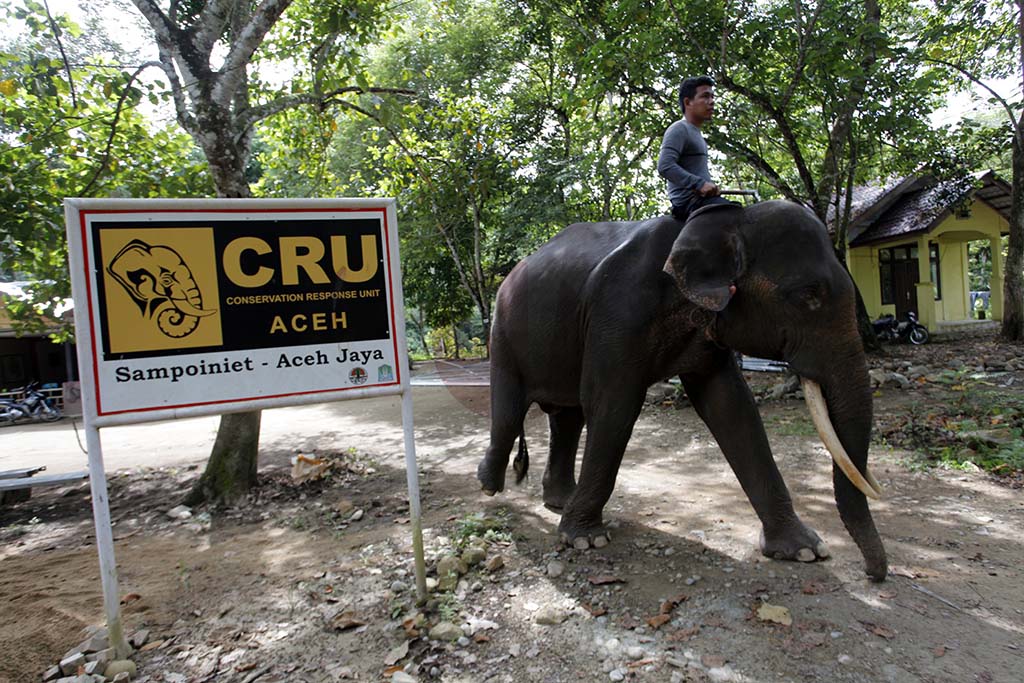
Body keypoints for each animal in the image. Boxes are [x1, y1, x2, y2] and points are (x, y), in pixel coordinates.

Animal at [479, 200, 888, 581]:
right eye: (808, 295)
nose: (873, 575)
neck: (724, 220)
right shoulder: (618, 313)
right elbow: (613, 406)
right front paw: (585, 541)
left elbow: (732, 409)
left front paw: (804, 551)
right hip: (503, 335)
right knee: (511, 412)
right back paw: (489, 486)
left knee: (567, 419)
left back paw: (560, 500)